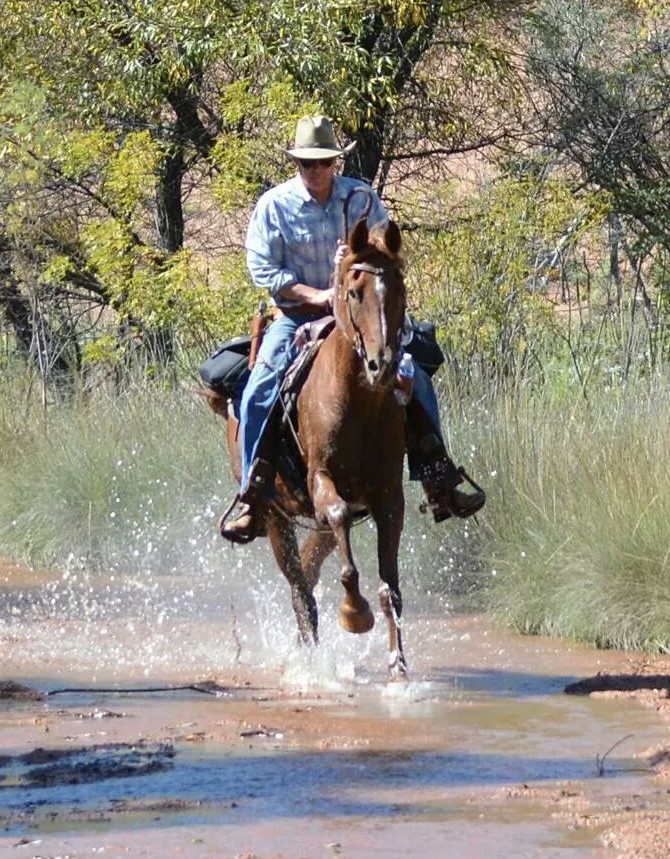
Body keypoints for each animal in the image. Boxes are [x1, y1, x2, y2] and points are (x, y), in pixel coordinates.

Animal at [207, 217, 409, 678]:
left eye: (400, 288)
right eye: (353, 291)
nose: (383, 366)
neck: (358, 404)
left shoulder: (389, 497)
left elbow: (390, 588)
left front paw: (399, 669)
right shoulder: (322, 483)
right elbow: (340, 538)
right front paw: (354, 613)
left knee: (310, 571)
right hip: (274, 514)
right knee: (300, 588)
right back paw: (312, 660)